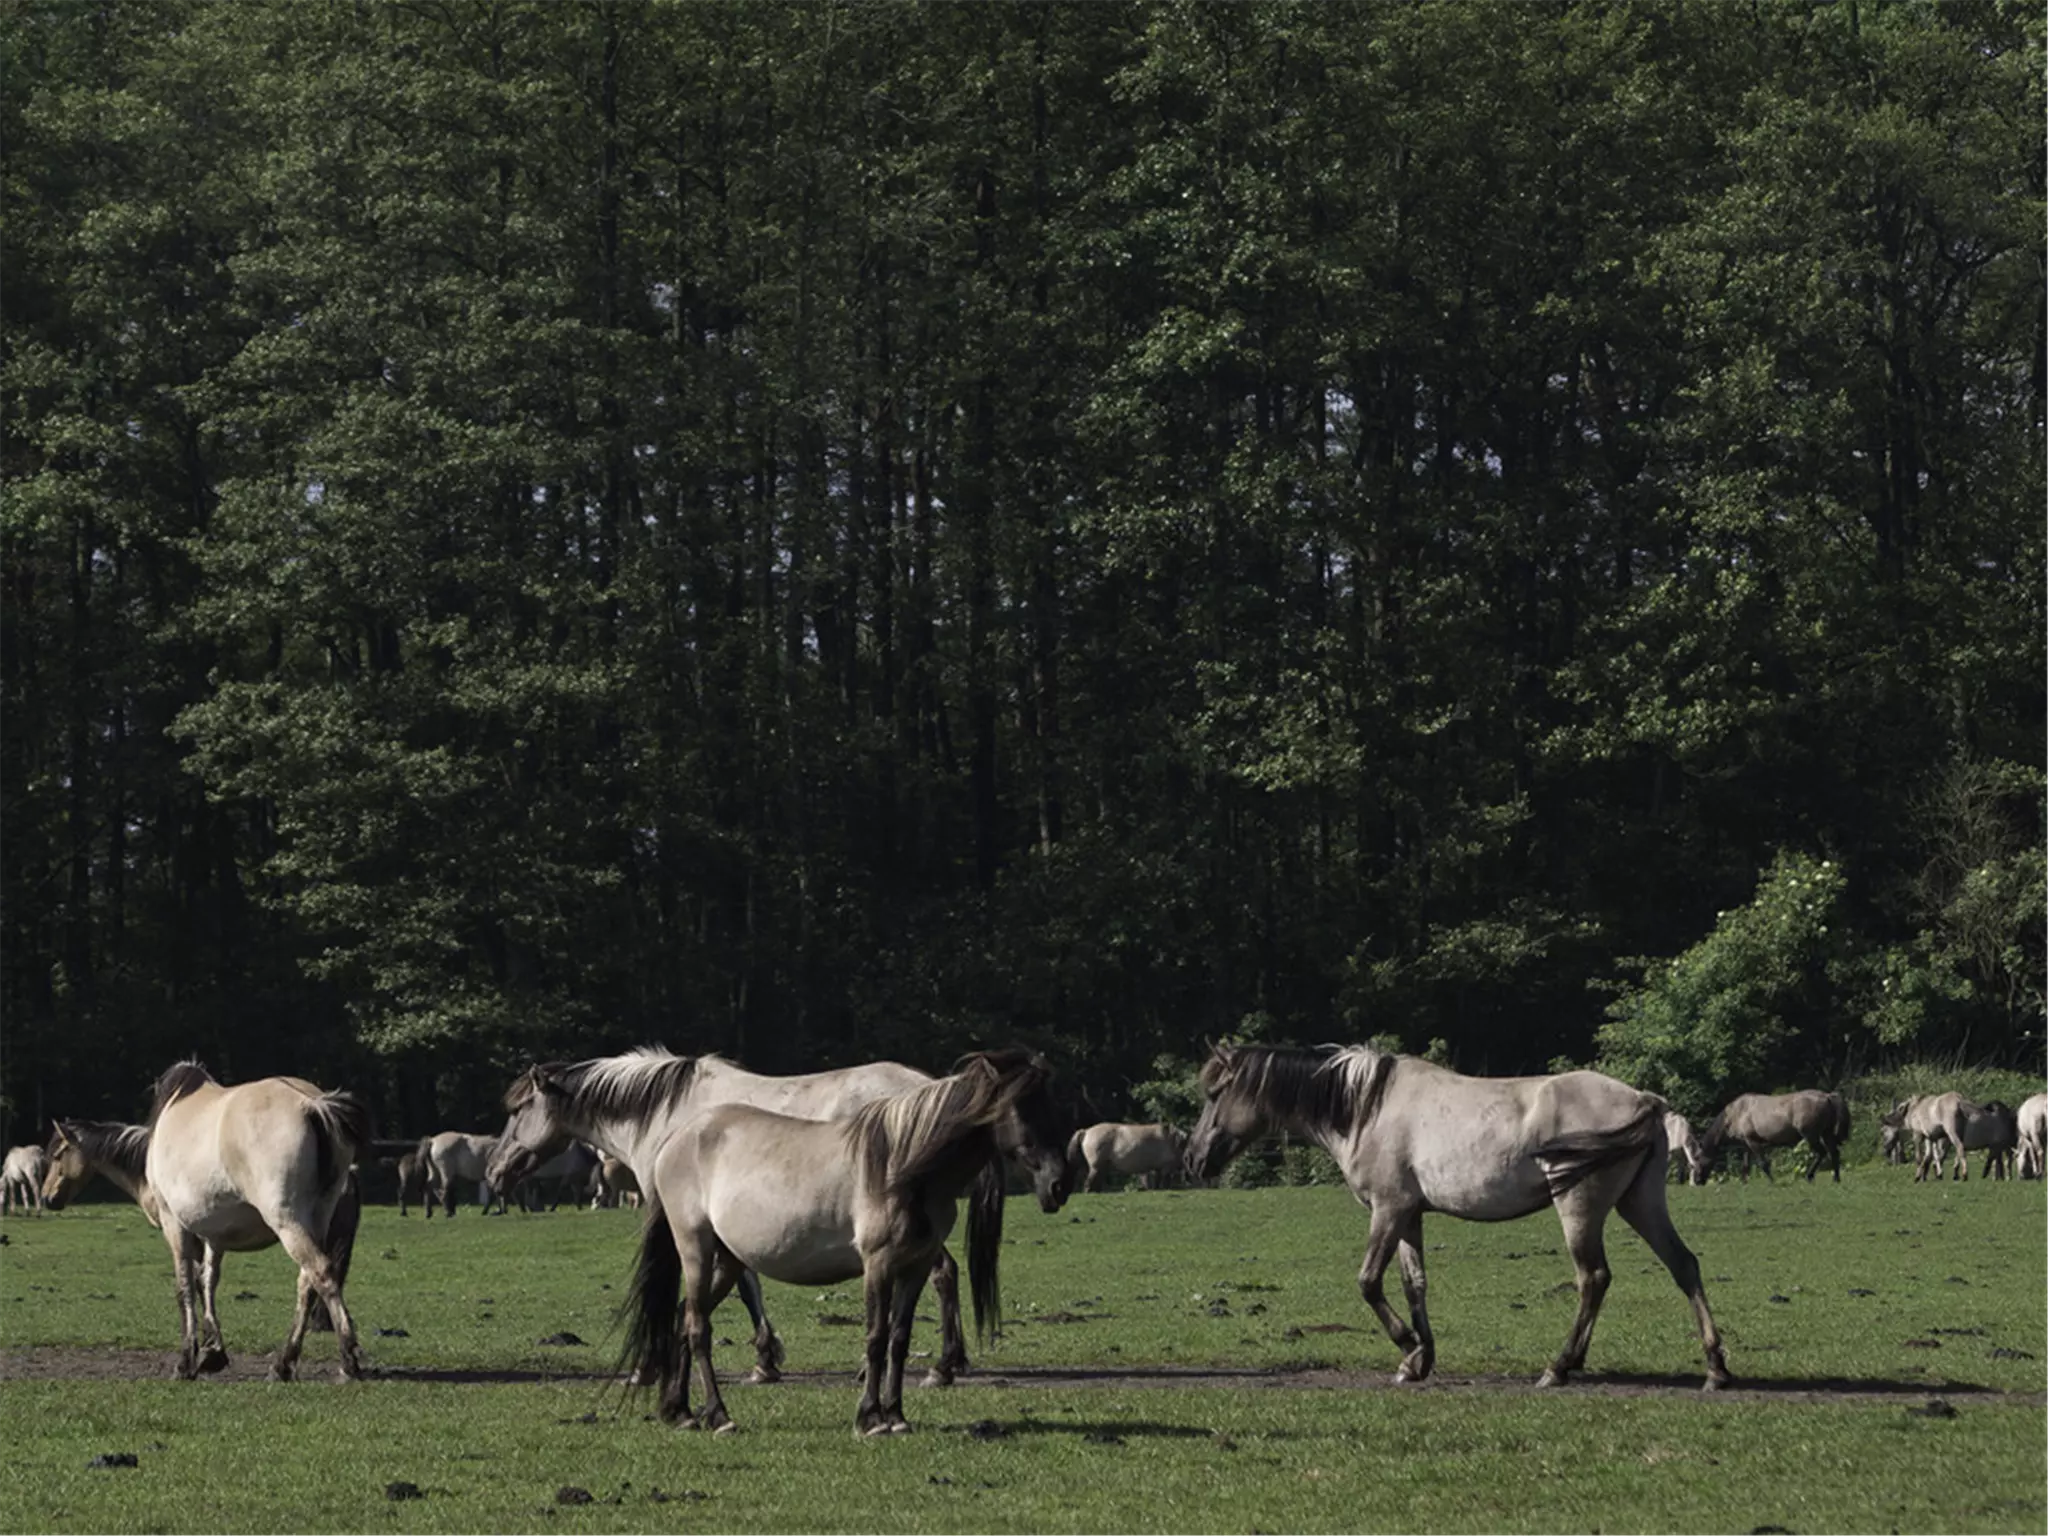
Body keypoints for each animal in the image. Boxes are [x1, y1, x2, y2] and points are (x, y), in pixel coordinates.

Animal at [479, 1056, 991, 1392]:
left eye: (517, 1111)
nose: (494, 1170)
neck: (665, 1116)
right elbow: (746, 1285)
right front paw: (765, 1359)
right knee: (945, 1273)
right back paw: (943, 1364)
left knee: (941, 1274)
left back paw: (934, 1367)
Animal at [618, 1056, 1073, 1441]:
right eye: (1021, 1109)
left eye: (1053, 1107)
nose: (1058, 1186)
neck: (902, 1168)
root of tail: (676, 1139)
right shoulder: (878, 1263)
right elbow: (875, 1336)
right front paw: (870, 1418)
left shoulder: (917, 1265)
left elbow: (899, 1338)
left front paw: (897, 1415)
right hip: (695, 1247)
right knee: (698, 1327)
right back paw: (718, 1415)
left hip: (728, 1260)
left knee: (684, 1317)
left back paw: (680, 1411)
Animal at [1064, 1122, 1196, 1196]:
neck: (1172, 1140)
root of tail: (1086, 1131)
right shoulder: (1165, 1168)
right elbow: (1164, 1182)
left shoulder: (1156, 1169)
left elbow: (1156, 1183)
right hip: (1096, 1167)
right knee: (1089, 1183)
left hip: (1101, 1168)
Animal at [1187, 1048, 1728, 1392]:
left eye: (1215, 1094)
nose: (1193, 1160)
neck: (1366, 1108)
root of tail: (1644, 1100)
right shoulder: (1408, 1216)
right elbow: (1414, 1285)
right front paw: (1418, 1360)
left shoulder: (1387, 1210)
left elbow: (1368, 1282)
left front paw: (1408, 1347)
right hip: (1640, 1203)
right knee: (1684, 1266)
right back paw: (1715, 1368)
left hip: (1580, 1207)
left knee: (1593, 1278)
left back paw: (1559, 1367)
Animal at [1695, 1089, 1859, 1187]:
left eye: (1697, 1161)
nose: (1697, 1181)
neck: (1736, 1113)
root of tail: (1826, 1096)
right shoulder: (1746, 1145)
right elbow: (1746, 1165)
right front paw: (1744, 1182)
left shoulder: (1753, 1142)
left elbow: (1763, 1163)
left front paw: (1772, 1181)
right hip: (1826, 1133)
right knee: (1834, 1152)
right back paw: (1836, 1178)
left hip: (1811, 1135)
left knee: (1821, 1153)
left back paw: (1809, 1176)